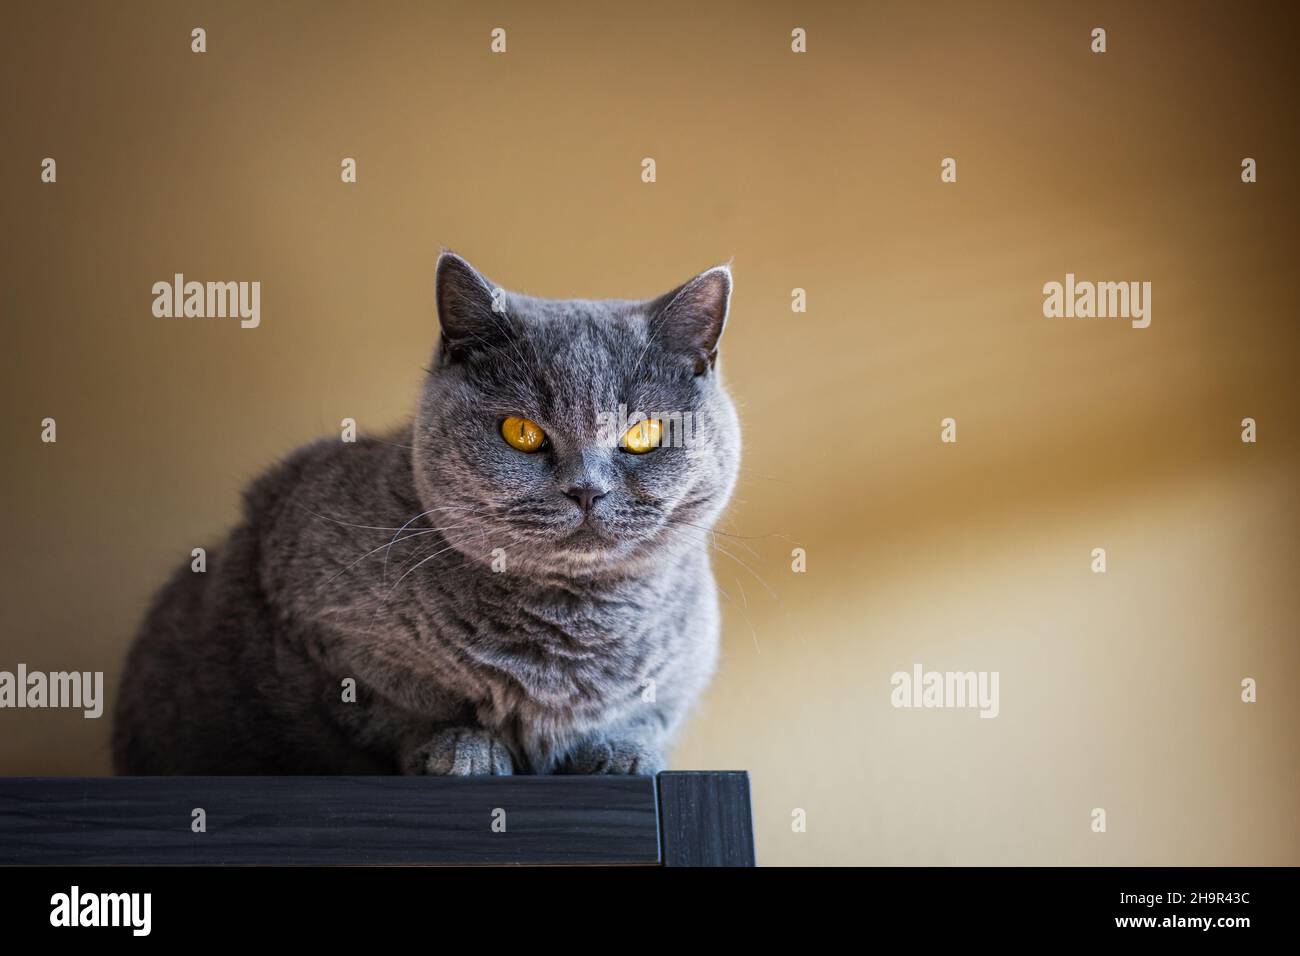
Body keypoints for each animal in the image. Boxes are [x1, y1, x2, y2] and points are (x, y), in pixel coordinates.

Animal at [111, 252, 743, 780]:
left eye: (643, 434)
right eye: (521, 432)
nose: (586, 490)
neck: (573, 625)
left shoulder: (685, 672)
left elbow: (644, 716)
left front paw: (620, 752)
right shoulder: (319, 627)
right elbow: (402, 709)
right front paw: (464, 749)